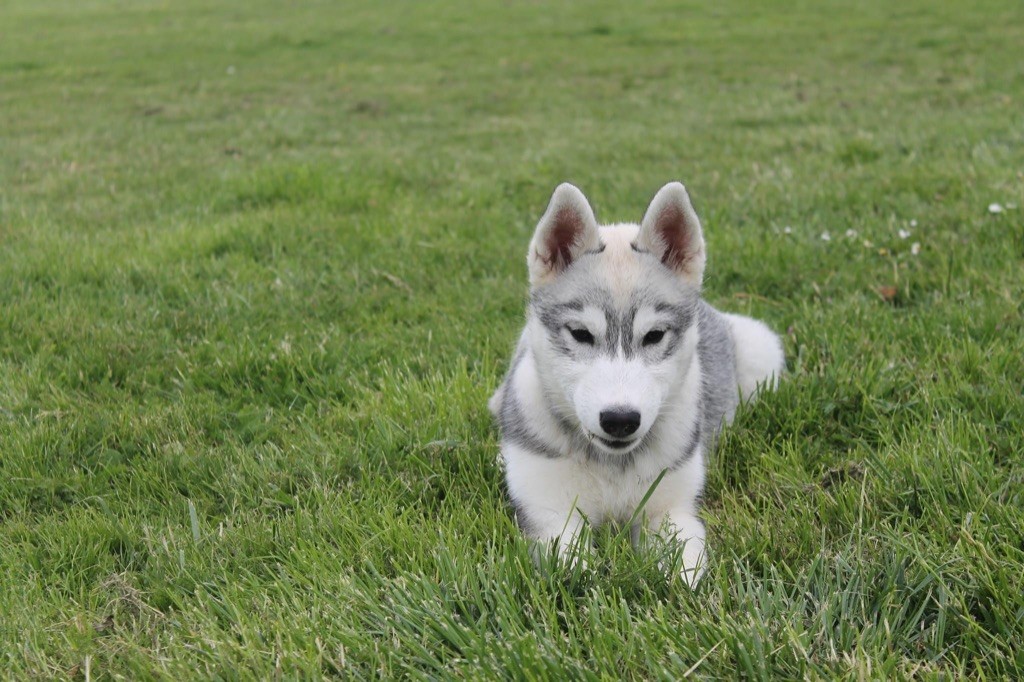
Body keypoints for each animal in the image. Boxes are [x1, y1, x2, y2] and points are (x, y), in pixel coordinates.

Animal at [487, 180, 782, 585]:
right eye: (581, 334)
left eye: (654, 335)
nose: (620, 420)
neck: (612, 465)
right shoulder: (549, 511)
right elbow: (571, 567)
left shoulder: (672, 508)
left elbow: (685, 562)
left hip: (761, 349)